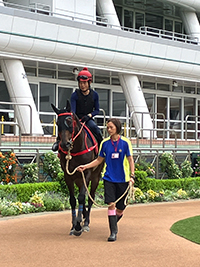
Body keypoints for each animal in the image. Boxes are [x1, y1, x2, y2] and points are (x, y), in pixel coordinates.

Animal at [50, 100, 104, 237]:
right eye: (57, 123)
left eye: (69, 121)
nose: (65, 144)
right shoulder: (68, 176)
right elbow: (73, 200)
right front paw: (74, 225)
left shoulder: (87, 172)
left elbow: (82, 197)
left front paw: (79, 225)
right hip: (79, 179)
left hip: (96, 176)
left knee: (90, 197)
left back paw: (86, 222)